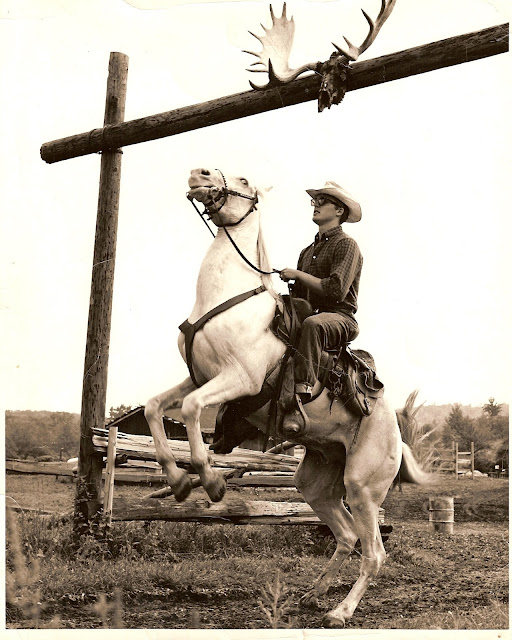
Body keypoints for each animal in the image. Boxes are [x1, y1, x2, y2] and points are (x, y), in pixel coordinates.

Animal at [144, 167, 431, 627]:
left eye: (243, 179)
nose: (199, 174)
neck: (227, 299)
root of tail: (396, 433)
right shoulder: (199, 377)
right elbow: (156, 407)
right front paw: (177, 480)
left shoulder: (239, 378)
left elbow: (190, 410)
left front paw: (209, 480)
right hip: (316, 482)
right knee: (346, 536)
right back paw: (313, 595)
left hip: (363, 487)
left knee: (373, 553)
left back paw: (339, 611)